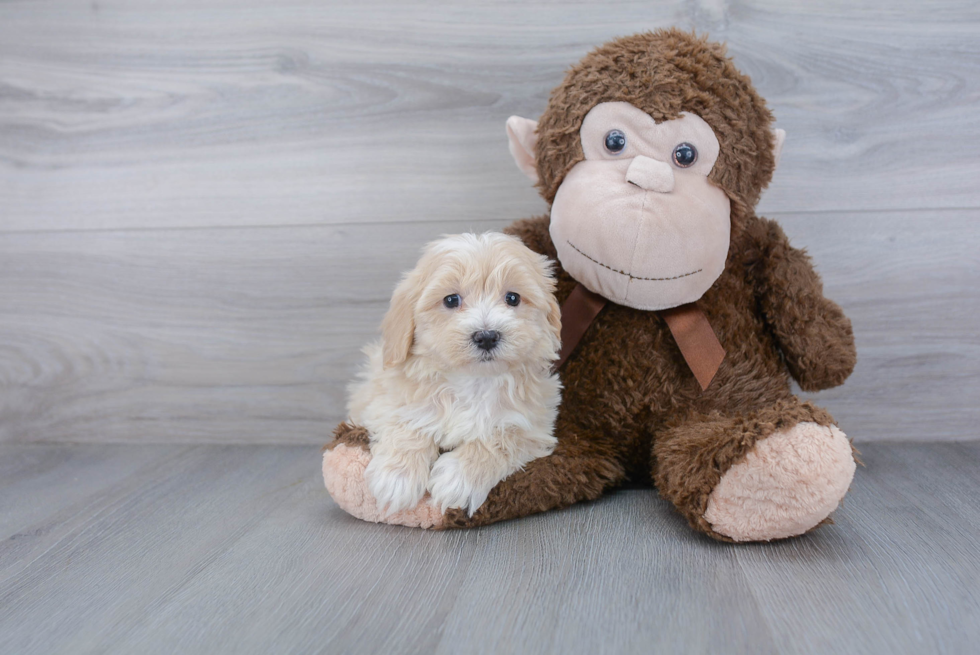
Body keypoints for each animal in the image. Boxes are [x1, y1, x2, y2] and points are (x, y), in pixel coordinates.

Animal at [348, 234, 564, 516]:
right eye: (451, 300)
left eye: (513, 298)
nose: (486, 336)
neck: (473, 381)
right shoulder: (385, 400)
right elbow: (406, 422)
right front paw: (396, 476)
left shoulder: (534, 426)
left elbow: (501, 438)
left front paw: (458, 477)